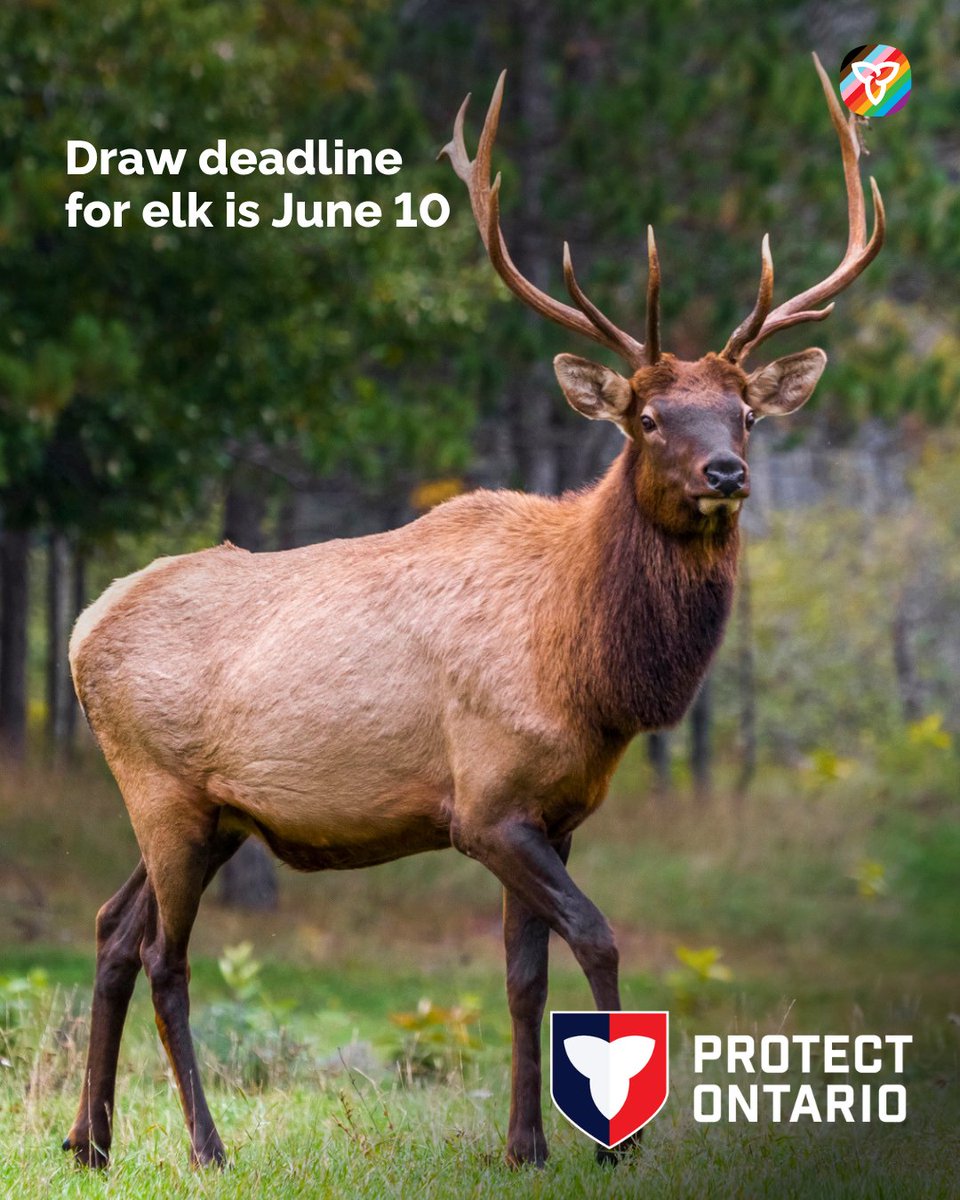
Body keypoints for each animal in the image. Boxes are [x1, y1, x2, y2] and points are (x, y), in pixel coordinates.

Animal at [63, 53, 884, 1171]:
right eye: (648, 415)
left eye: (746, 413)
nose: (728, 472)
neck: (591, 675)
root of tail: (78, 631)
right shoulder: (487, 803)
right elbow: (598, 937)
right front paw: (613, 1147)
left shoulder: (556, 812)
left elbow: (522, 977)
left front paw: (527, 1145)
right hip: (161, 788)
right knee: (161, 954)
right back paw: (204, 1145)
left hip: (209, 809)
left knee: (111, 926)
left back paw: (90, 1142)